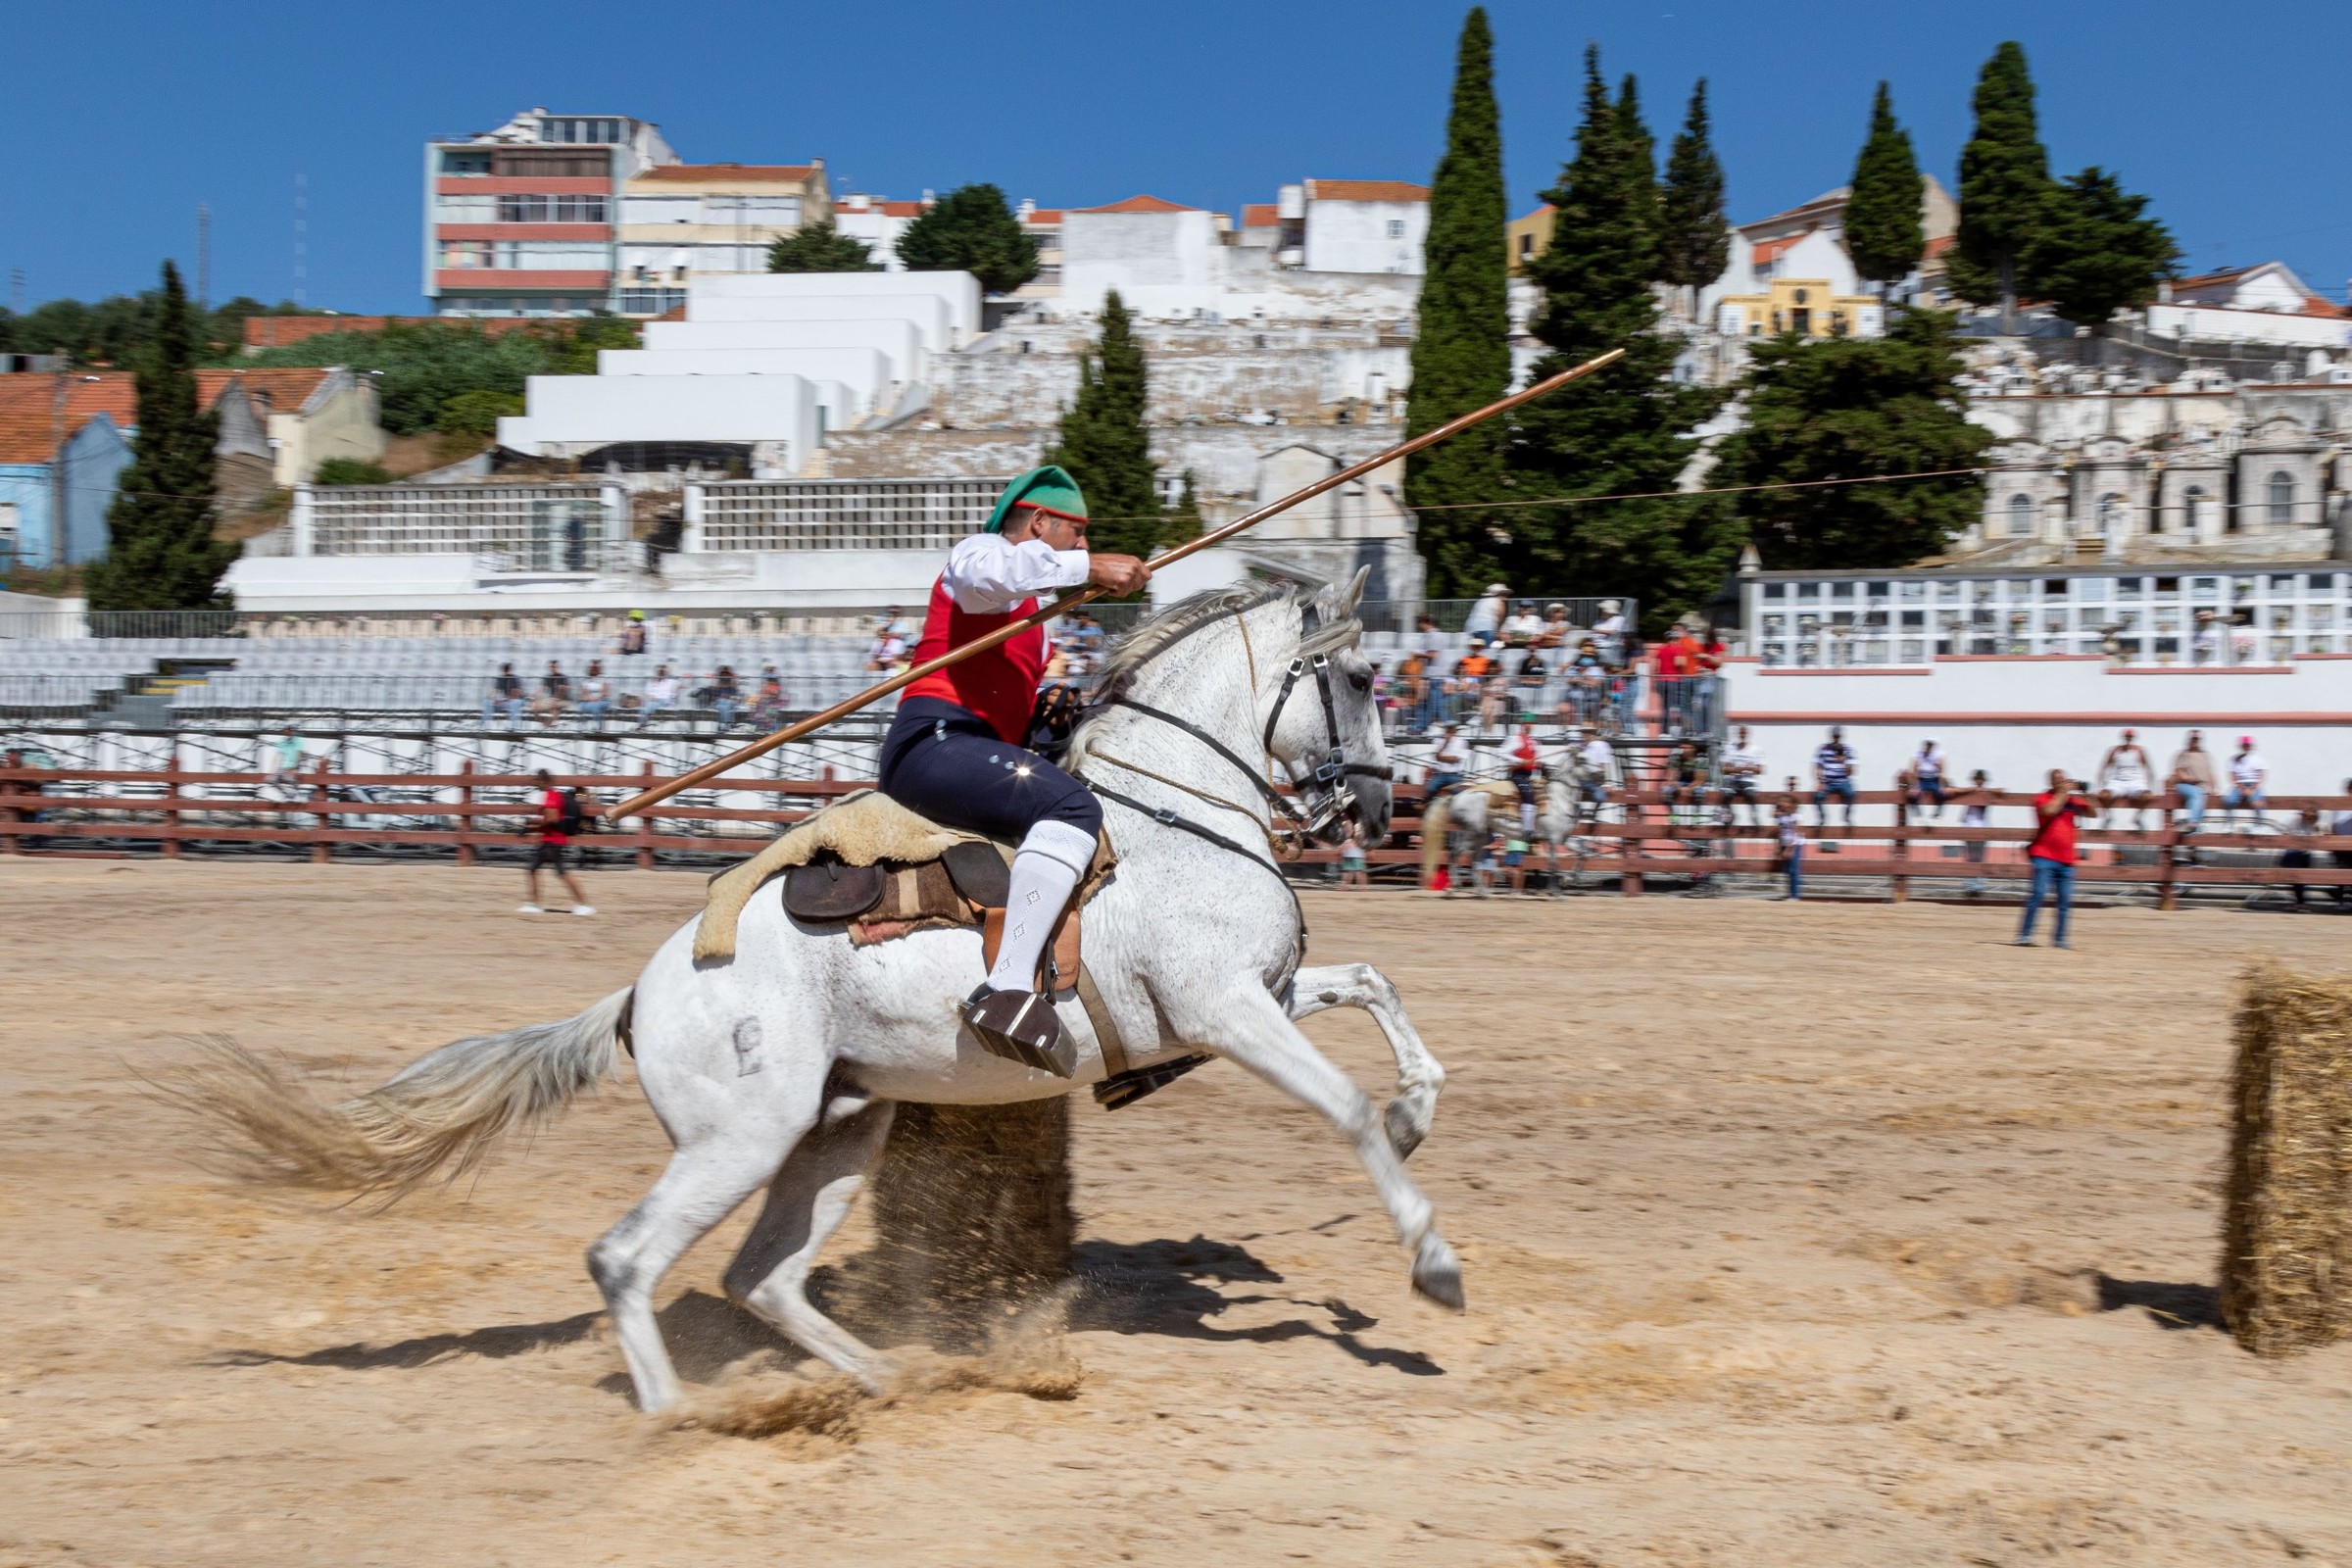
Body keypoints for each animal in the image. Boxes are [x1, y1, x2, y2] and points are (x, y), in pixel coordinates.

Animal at [178, 582, 1448, 1419]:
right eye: (1359, 677)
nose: (1381, 808)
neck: (1171, 814)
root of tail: (642, 991)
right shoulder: (1227, 1010)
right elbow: (1341, 1107)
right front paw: (1431, 1260)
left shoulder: (1257, 995)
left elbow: (1375, 987)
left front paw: (1418, 1108)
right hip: (741, 1136)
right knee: (628, 1259)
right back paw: (684, 1421)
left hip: (835, 1129)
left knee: (763, 1276)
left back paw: (891, 1380)